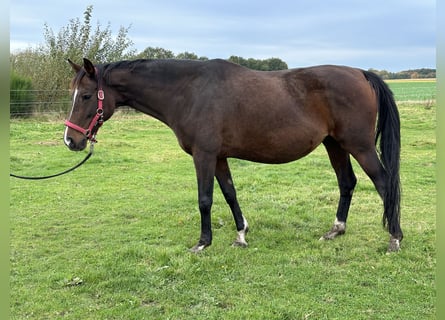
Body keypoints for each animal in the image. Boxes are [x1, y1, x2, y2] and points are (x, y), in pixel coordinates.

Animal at [64, 57, 400, 252]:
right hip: (335, 145)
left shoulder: (203, 155)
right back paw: (336, 230)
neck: (188, 91)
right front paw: (241, 234)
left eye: (86, 96)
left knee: (384, 184)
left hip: (359, 146)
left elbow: (205, 199)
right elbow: (229, 194)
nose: (71, 140)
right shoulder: (219, 157)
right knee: (347, 183)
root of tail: (361, 73)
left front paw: (203, 243)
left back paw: (394, 239)